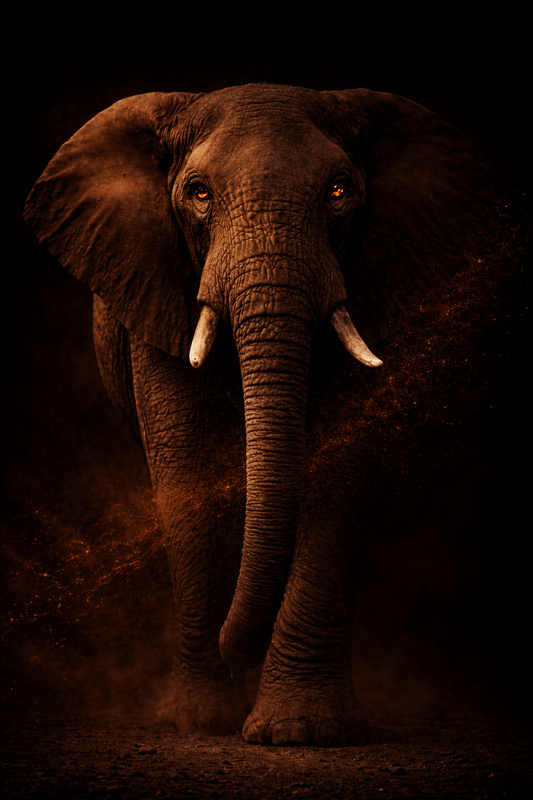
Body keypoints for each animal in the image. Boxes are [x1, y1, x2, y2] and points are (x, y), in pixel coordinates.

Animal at [24, 83, 501, 746]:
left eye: (339, 191)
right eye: (198, 194)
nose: (237, 651)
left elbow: (342, 472)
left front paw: (299, 733)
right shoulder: (158, 282)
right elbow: (185, 467)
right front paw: (202, 724)